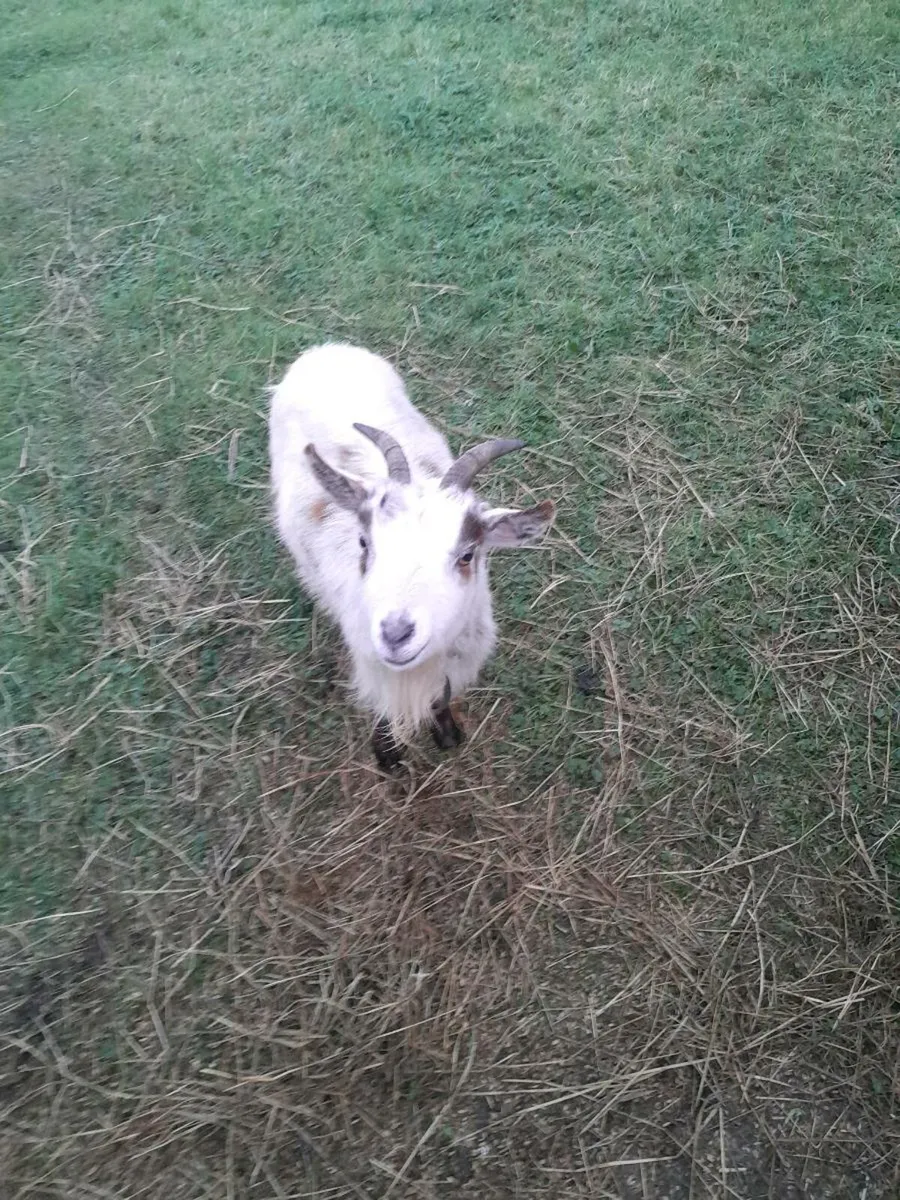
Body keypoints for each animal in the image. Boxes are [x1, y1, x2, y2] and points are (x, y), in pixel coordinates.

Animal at [268, 343, 555, 769]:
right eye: (365, 543)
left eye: (467, 555)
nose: (395, 634)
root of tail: (325, 350)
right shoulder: (374, 663)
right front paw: (387, 751)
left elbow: (442, 696)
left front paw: (447, 733)